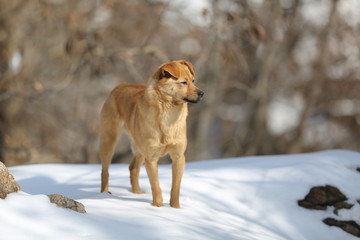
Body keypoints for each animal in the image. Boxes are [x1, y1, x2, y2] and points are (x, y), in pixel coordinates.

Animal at [100, 60, 204, 208]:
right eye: (184, 82)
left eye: (193, 80)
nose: (202, 93)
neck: (168, 115)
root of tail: (121, 85)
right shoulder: (151, 158)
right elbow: (156, 187)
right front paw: (157, 207)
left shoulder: (178, 157)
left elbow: (175, 188)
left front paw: (176, 208)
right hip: (109, 140)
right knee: (105, 171)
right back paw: (104, 194)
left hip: (139, 149)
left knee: (133, 168)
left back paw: (137, 193)